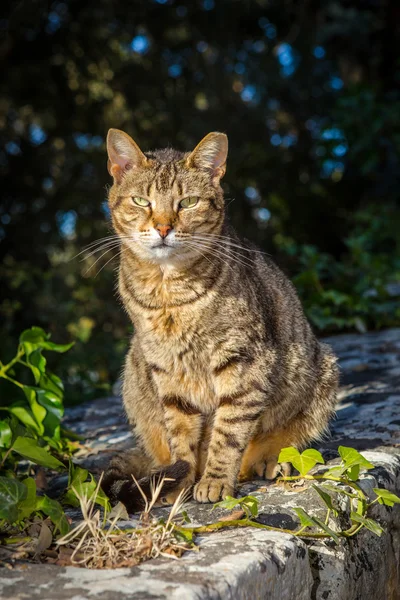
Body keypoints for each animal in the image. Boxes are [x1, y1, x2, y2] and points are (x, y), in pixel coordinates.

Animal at [101, 127, 338, 510]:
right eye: (141, 201)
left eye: (187, 202)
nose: (163, 228)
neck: (169, 294)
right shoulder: (167, 370)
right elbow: (181, 438)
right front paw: (180, 483)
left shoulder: (243, 362)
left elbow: (228, 432)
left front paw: (213, 481)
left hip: (322, 371)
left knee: (277, 440)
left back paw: (271, 461)